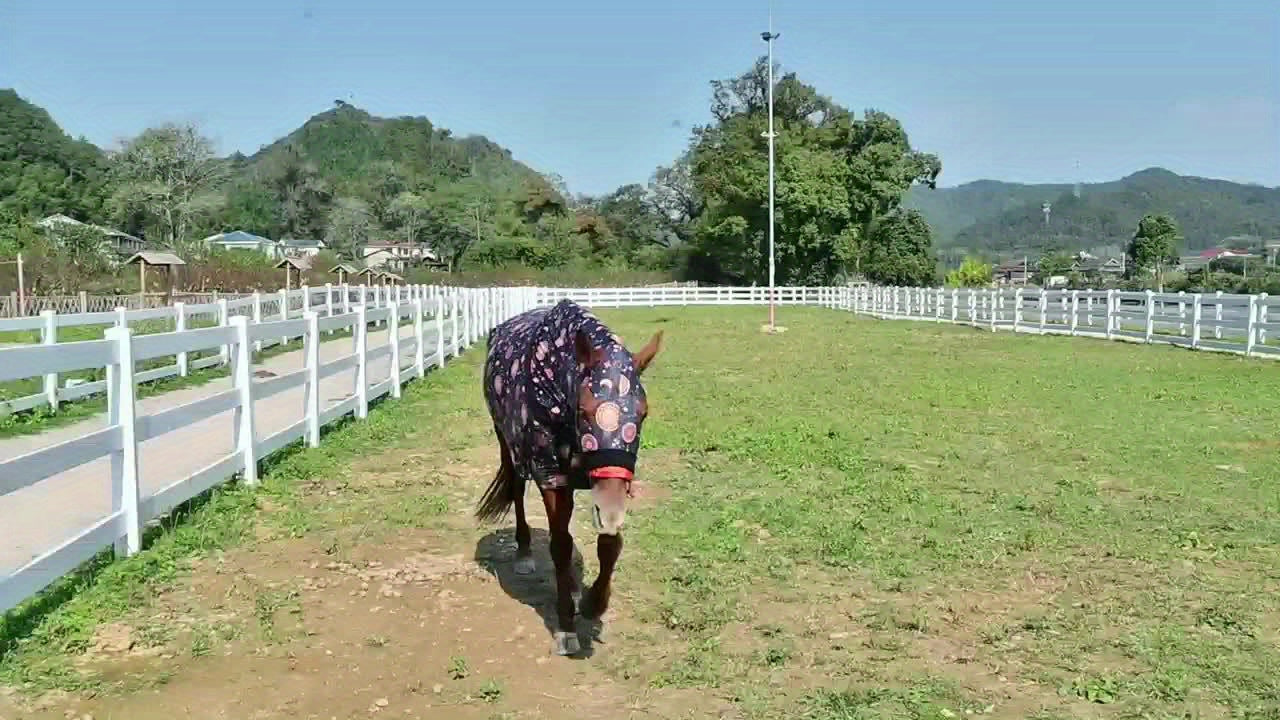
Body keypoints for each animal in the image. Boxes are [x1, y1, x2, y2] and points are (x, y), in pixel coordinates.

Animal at [475, 298, 663, 656]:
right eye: (584, 410)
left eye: (644, 413)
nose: (612, 509)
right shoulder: (552, 477)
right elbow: (560, 546)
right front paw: (565, 627)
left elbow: (609, 543)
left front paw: (592, 602)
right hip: (507, 442)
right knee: (517, 491)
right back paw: (524, 554)